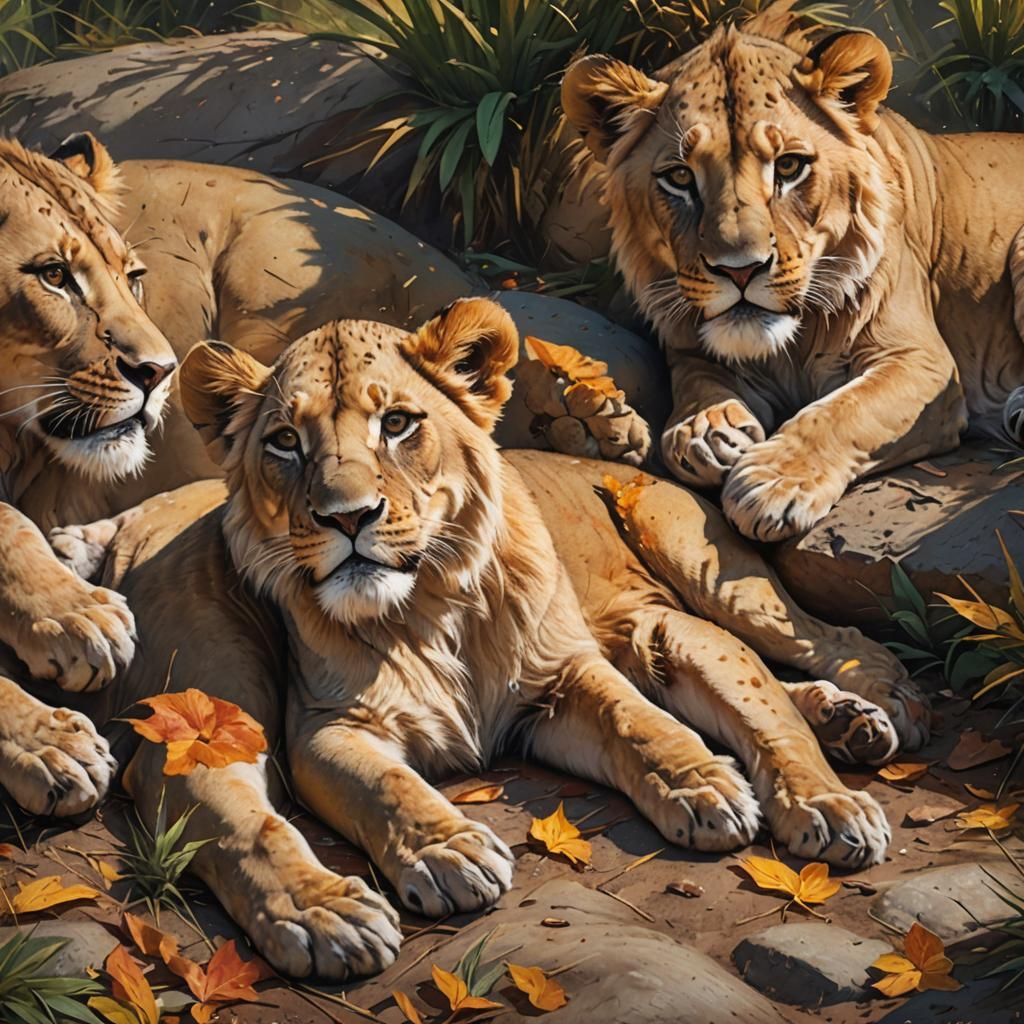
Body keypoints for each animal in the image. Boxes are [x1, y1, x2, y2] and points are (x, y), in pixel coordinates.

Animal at [44, 301, 929, 979]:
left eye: (398, 424)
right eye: (285, 442)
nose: (346, 518)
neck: (427, 609)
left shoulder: (560, 676)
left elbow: (646, 721)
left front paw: (716, 786)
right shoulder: (328, 729)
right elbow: (386, 787)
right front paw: (447, 852)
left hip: (702, 565)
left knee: (809, 646)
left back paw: (866, 723)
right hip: (210, 699)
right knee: (217, 797)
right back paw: (323, 917)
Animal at [561, 3, 1024, 542]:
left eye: (789, 167)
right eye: (679, 177)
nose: (740, 270)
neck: (792, 348)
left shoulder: (923, 363)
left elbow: (845, 411)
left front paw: (772, 483)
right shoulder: (689, 349)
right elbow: (696, 380)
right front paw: (704, 430)